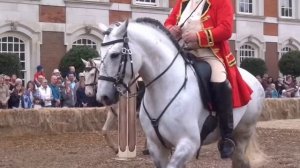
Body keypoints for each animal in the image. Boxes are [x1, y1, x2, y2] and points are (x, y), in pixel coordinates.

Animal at [96, 18, 264, 168]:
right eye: (100, 54)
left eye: (114, 55)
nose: (103, 96)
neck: (164, 89)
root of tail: (254, 79)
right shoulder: (157, 147)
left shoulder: (188, 144)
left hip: (242, 134)